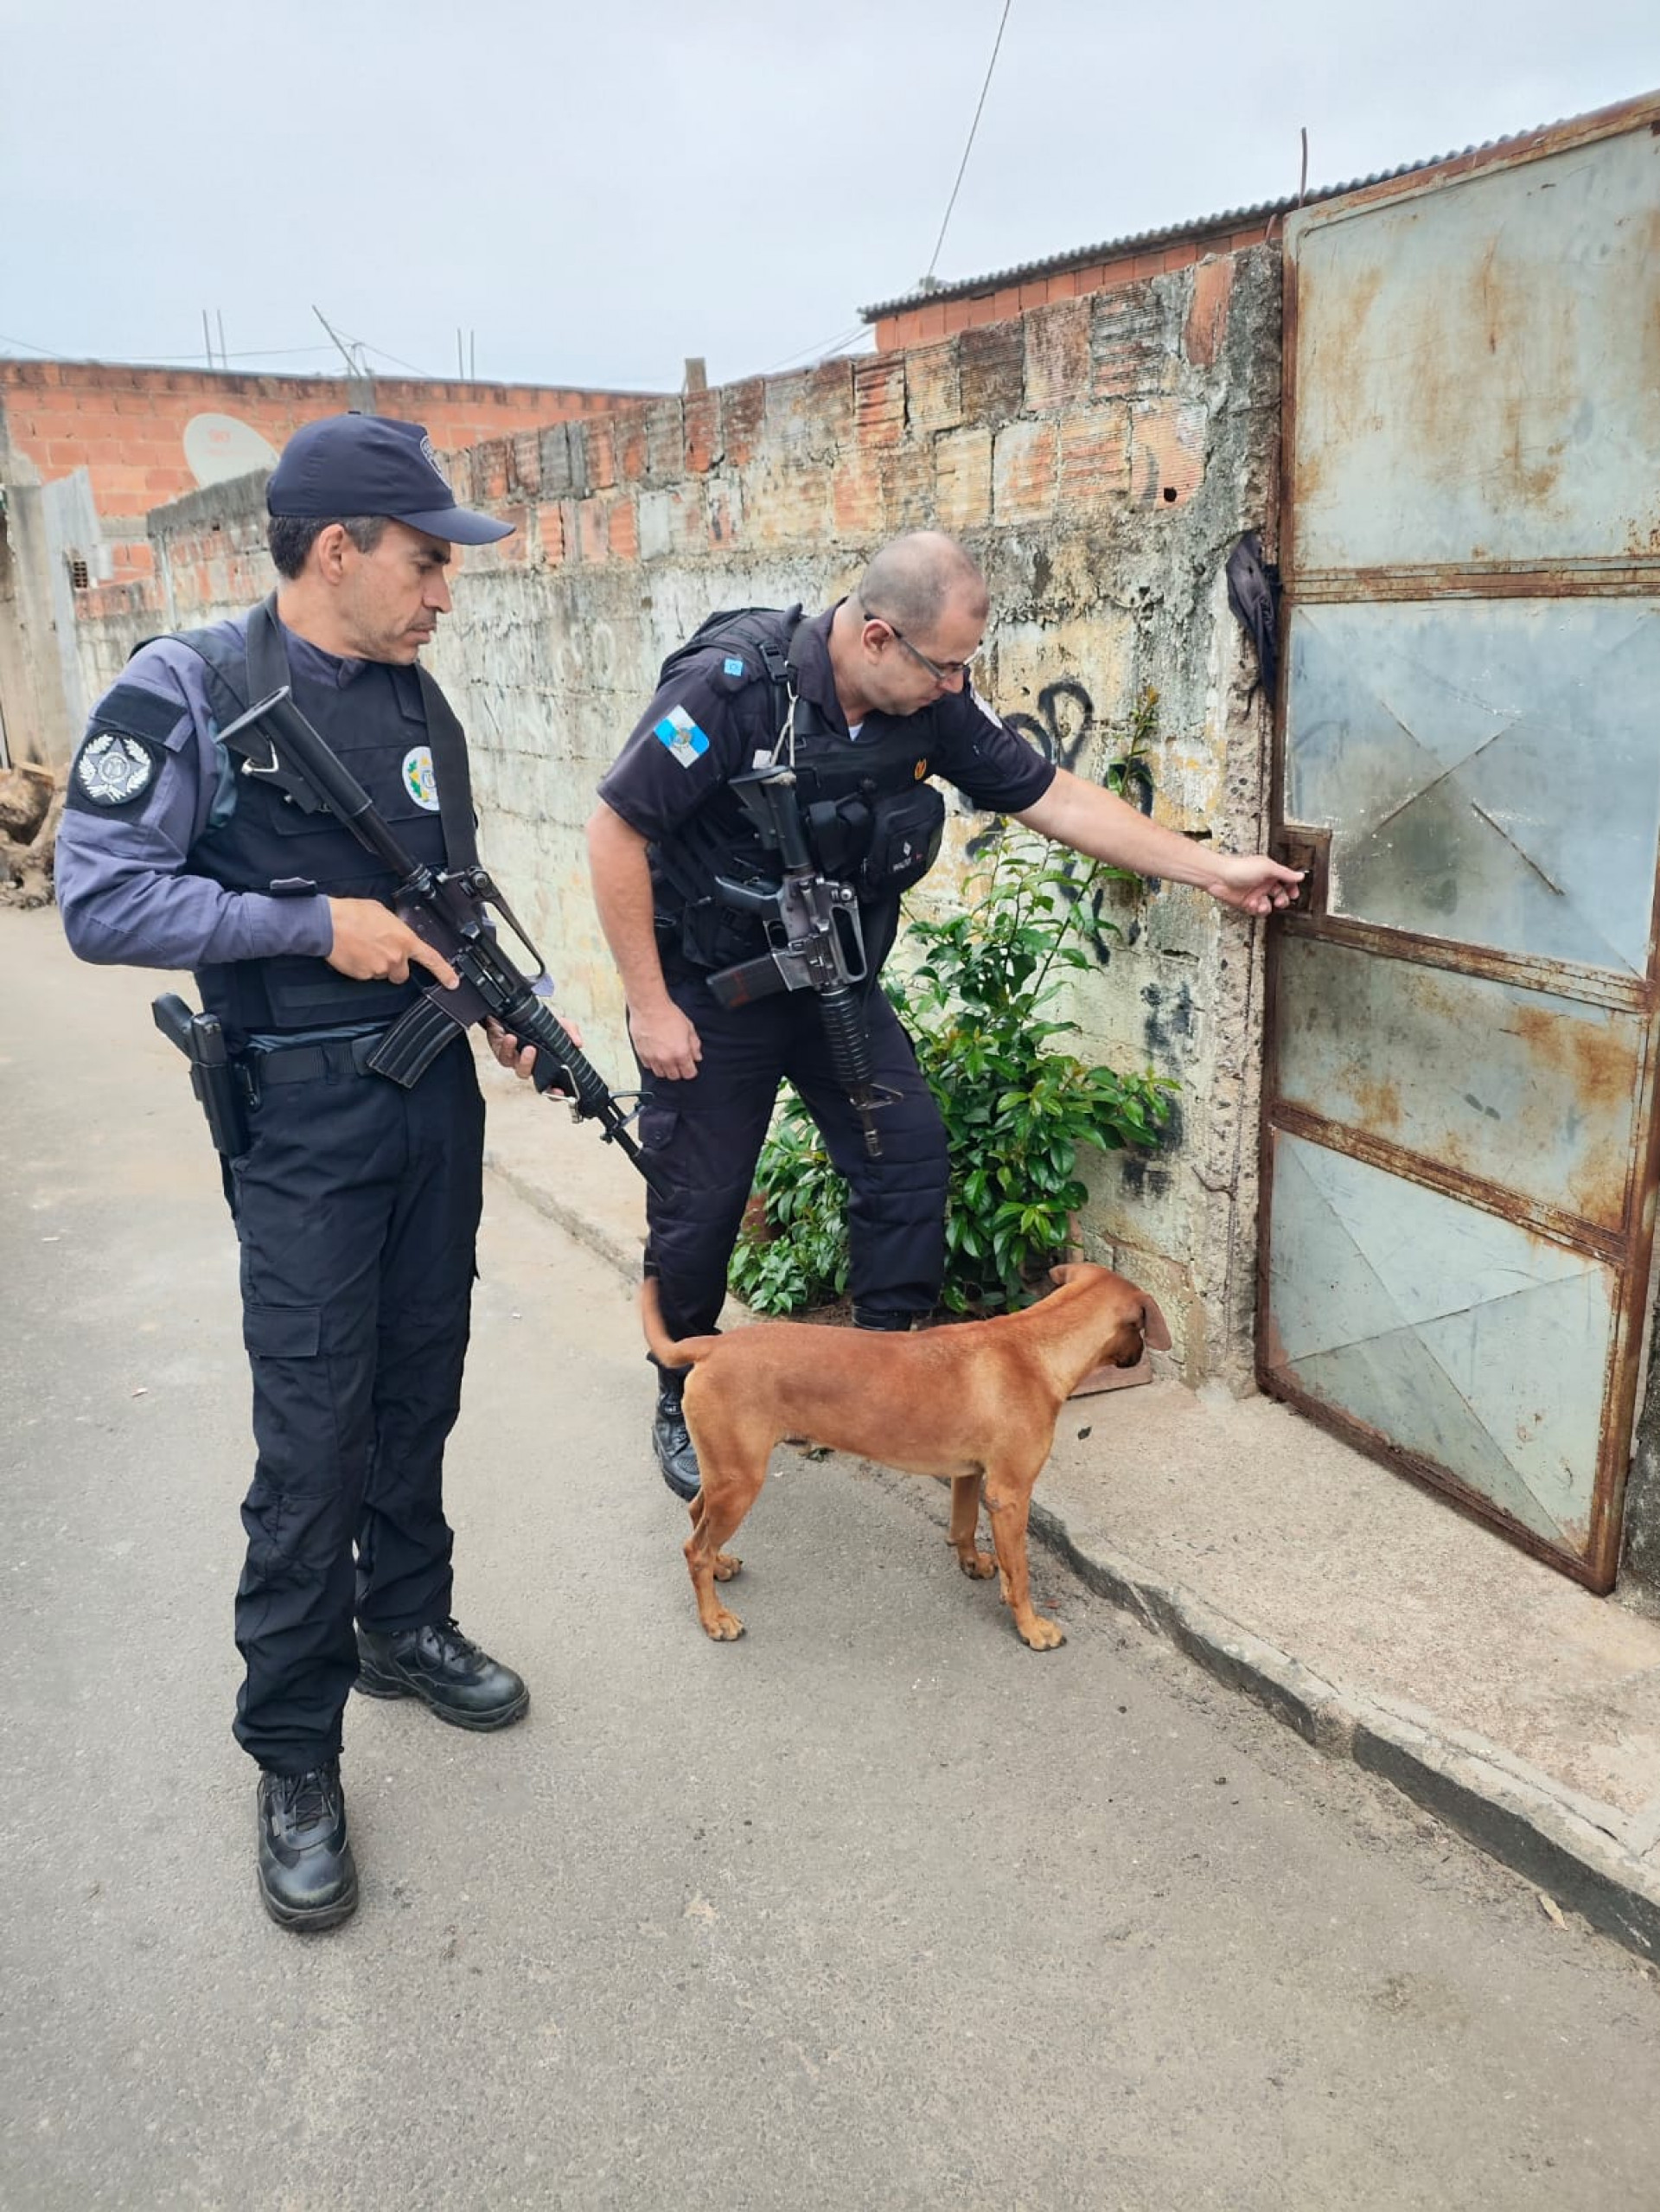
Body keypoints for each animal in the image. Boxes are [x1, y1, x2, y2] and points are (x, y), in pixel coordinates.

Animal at [636, 1274, 1166, 1654]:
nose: (1142, 1355)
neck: (1033, 1345)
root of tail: (712, 1344)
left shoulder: (970, 1476)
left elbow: (964, 1526)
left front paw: (973, 1564)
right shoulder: (1011, 1494)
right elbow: (1022, 1573)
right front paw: (1031, 1627)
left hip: (725, 1473)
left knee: (696, 1517)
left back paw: (722, 1565)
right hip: (741, 1482)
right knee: (694, 1549)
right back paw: (715, 1618)